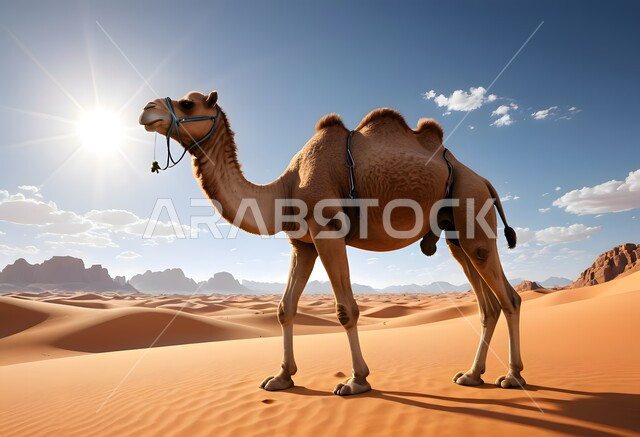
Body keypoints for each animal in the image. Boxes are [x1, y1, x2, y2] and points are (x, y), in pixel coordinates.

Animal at [139, 90, 526, 396]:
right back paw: (472, 376)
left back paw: (513, 376)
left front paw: (357, 381)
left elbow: (346, 309)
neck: (285, 187)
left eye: (187, 103)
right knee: (487, 304)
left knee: (508, 297)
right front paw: (281, 377)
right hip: (455, 234)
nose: (146, 109)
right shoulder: (303, 243)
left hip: (472, 209)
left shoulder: (327, 231)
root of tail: (485, 180)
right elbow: (284, 308)